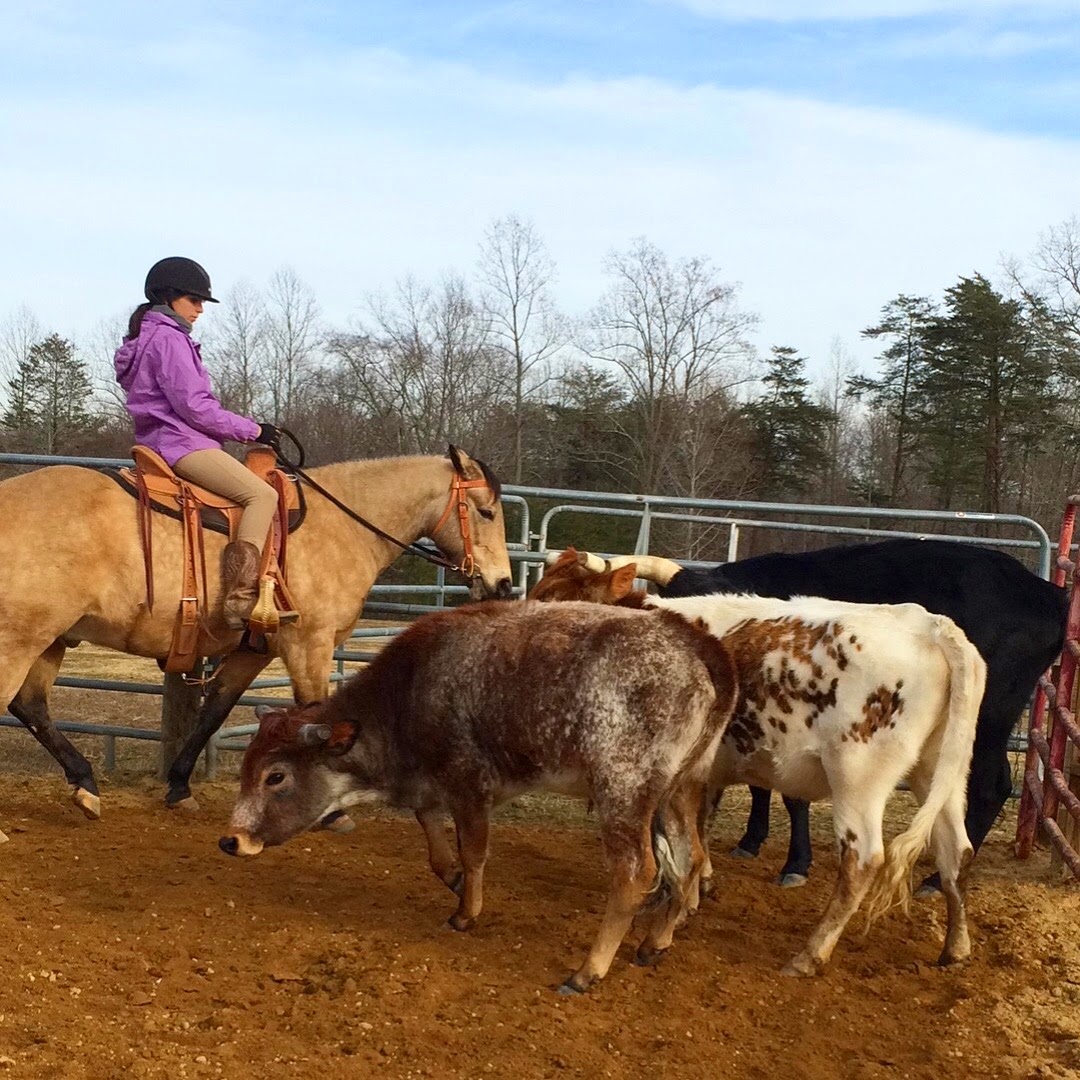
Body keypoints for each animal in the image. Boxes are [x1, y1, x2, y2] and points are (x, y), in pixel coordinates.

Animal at [0, 445, 513, 832]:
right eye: (486, 511)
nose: (505, 584)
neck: (343, 526)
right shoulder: (310, 644)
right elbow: (316, 715)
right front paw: (329, 811)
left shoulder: (253, 651)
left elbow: (215, 713)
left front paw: (180, 788)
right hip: (21, 638)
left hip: (52, 638)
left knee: (30, 706)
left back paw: (86, 786)